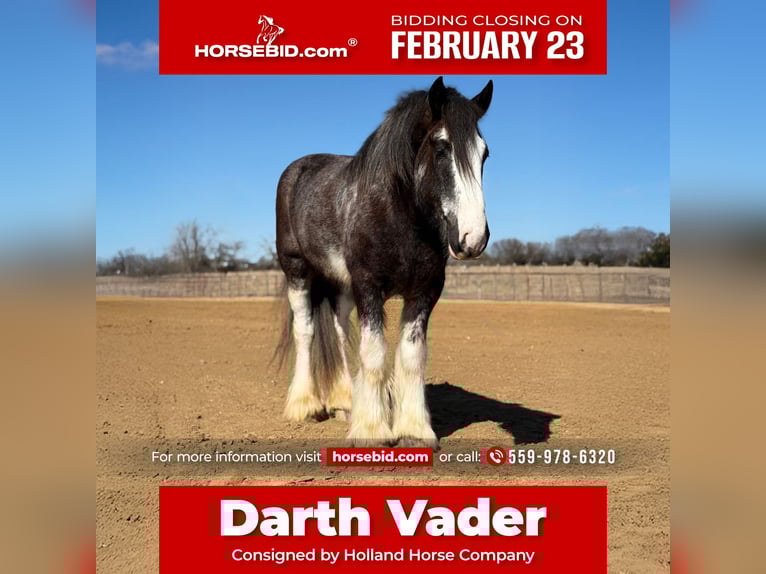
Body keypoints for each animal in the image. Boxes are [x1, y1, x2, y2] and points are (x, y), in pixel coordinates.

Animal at [275, 77, 493, 448]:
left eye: (485, 153)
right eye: (441, 148)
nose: (473, 237)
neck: (397, 216)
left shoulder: (424, 292)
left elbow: (411, 356)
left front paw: (414, 430)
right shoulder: (369, 287)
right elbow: (375, 354)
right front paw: (373, 431)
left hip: (341, 287)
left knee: (339, 330)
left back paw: (346, 402)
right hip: (297, 271)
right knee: (304, 330)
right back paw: (305, 406)